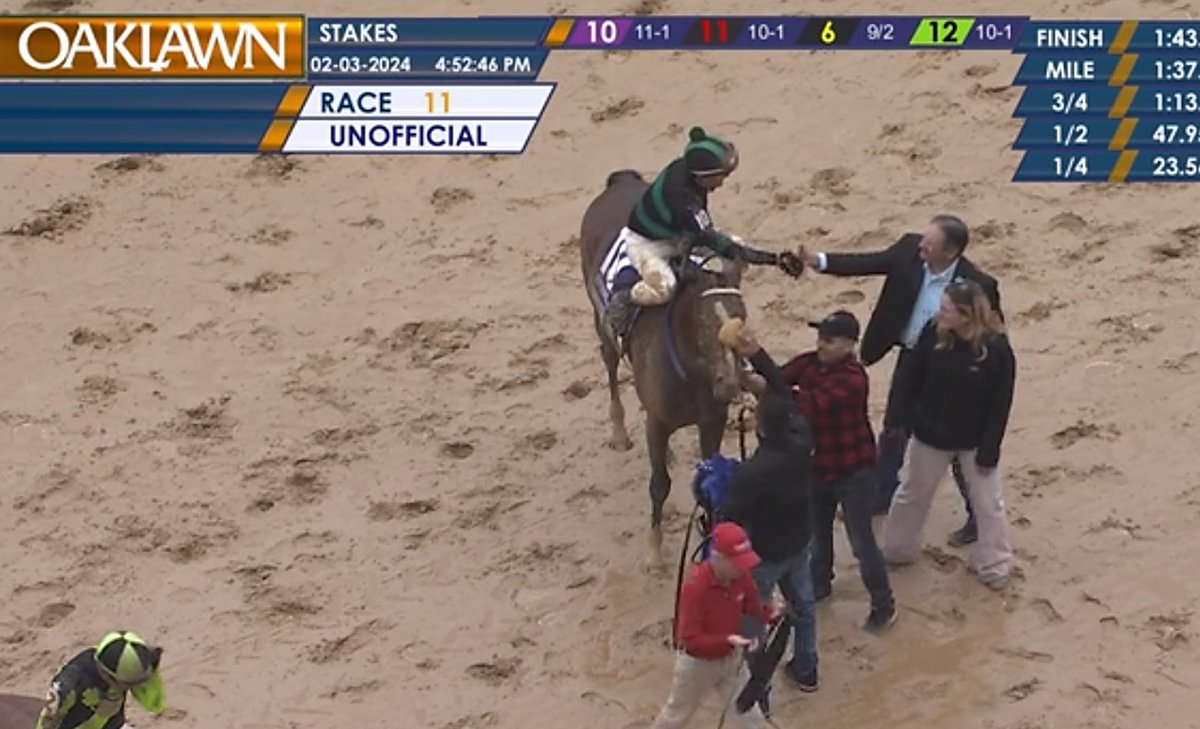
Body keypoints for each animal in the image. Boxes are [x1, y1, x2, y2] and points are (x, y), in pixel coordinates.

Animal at [576, 167, 744, 565]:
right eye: (703, 325)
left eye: (742, 318)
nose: (731, 383)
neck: (693, 373)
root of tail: (621, 180)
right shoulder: (658, 421)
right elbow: (659, 484)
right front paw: (654, 551)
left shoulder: (712, 419)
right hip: (601, 323)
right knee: (609, 363)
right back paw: (619, 431)